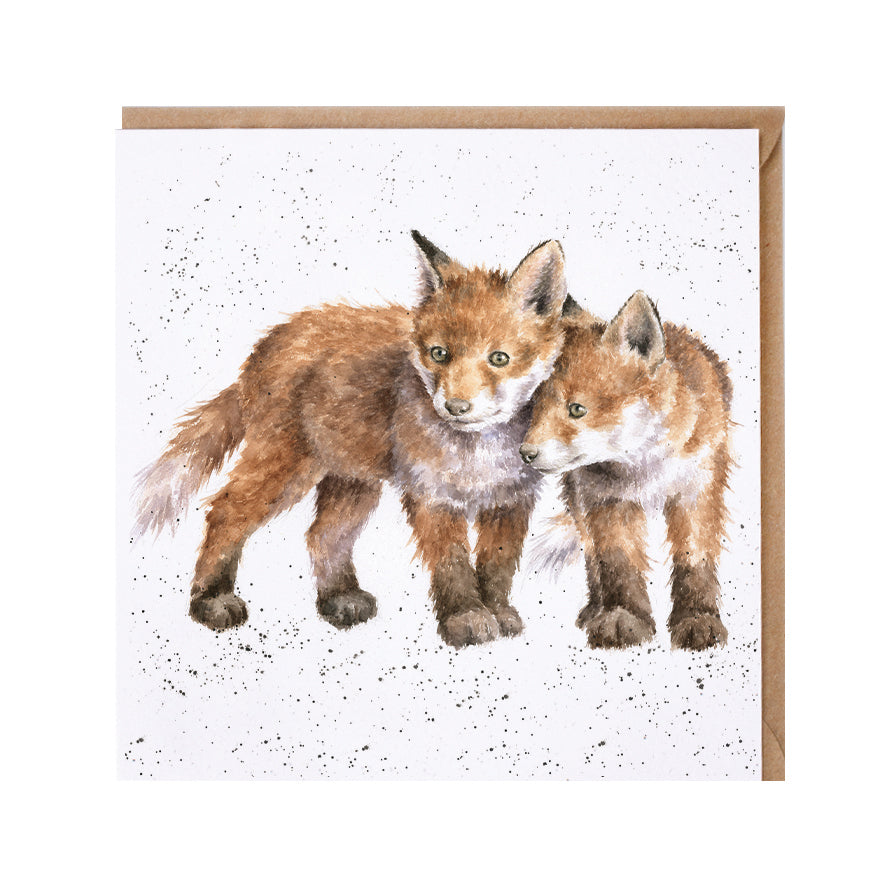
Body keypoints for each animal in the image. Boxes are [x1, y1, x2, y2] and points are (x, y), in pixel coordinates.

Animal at [134, 231, 572, 648]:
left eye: (499, 358)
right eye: (439, 353)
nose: (455, 407)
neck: (477, 454)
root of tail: (265, 347)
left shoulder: (510, 499)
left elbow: (498, 567)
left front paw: (499, 613)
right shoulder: (430, 494)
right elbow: (453, 565)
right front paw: (465, 617)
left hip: (353, 481)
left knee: (323, 535)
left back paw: (338, 597)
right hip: (286, 471)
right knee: (225, 512)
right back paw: (210, 598)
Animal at [521, 290, 732, 651]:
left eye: (577, 409)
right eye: (534, 408)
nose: (525, 454)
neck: (645, 469)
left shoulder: (697, 489)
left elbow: (695, 559)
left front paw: (698, 618)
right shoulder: (606, 499)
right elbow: (618, 564)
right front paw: (624, 617)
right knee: (592, 558)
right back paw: (596, 609)